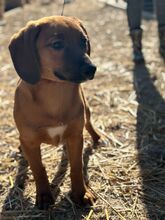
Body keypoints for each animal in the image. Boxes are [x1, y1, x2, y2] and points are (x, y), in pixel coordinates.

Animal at [9, 15, 100, 210]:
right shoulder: (30, 141)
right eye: (57, 44)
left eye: (83, 41)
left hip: (87, 111)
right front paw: (44, 195)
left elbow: (76, 167)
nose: (92, 68)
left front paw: (81, 193)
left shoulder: (75, 135)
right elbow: (38, 169)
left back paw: (96, 137)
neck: (54, 92)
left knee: (89, 124)